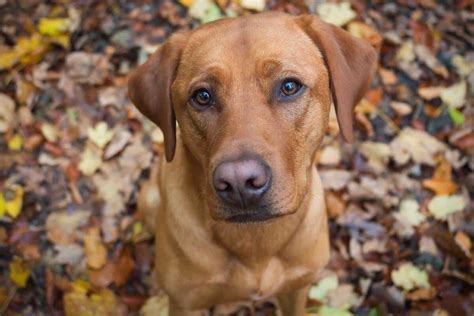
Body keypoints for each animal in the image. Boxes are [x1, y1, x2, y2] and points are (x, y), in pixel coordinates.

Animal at [128, 11, 376, 314]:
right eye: (202, 96)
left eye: (289, 86)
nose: (239, 182)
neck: (255, 242)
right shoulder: (185, 303)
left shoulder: (297, 287)